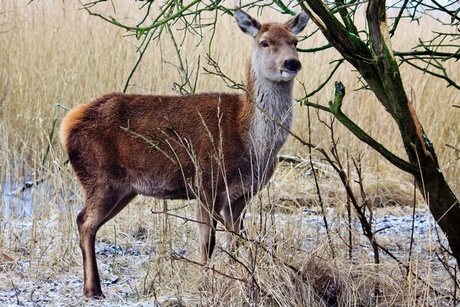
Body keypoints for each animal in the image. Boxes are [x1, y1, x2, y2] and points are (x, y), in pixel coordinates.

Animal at [59, 9, 308, 298]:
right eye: (264, 42)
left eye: (295, 41)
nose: (292, 63)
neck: (249, 140)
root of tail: (67, 124)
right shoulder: (206, 182)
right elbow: (207, 239)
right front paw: (206, 281)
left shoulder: (241, 194)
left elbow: (236, 239)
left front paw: (238, 277)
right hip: (100, 177)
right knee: (84, 221)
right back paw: (93, 289)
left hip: (124, 188)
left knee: (86, 222)